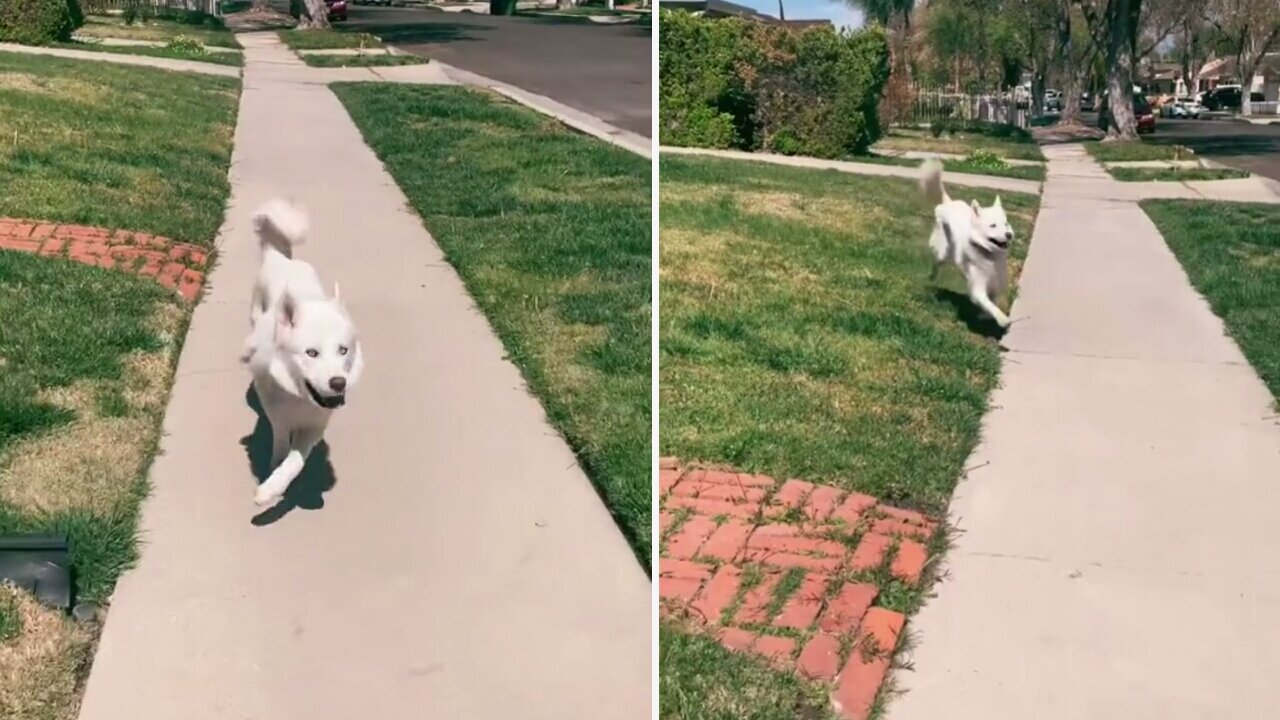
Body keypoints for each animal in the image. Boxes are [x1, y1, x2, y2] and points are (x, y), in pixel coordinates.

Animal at [240, 197, 363, 504]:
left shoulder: (315, 426)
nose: (338, 383)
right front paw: (271, 473)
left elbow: (295, 461)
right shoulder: (279, 417)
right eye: (311, 353)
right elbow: (281, 442)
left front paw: (274, 486)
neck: (300, 397)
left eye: (343, 350)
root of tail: (282, 258)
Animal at [916, 158, 1013, 327]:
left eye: (1005, 224)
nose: (1009, 235)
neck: (988, 254)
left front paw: (986, 315)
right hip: (943, 253)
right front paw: (1002, 319)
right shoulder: (978, 288)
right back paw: (932, 276)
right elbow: (989, 305)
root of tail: (948, 203)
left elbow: (995, 301)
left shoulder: (996, 283)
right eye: (993, 225)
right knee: (936, 263)